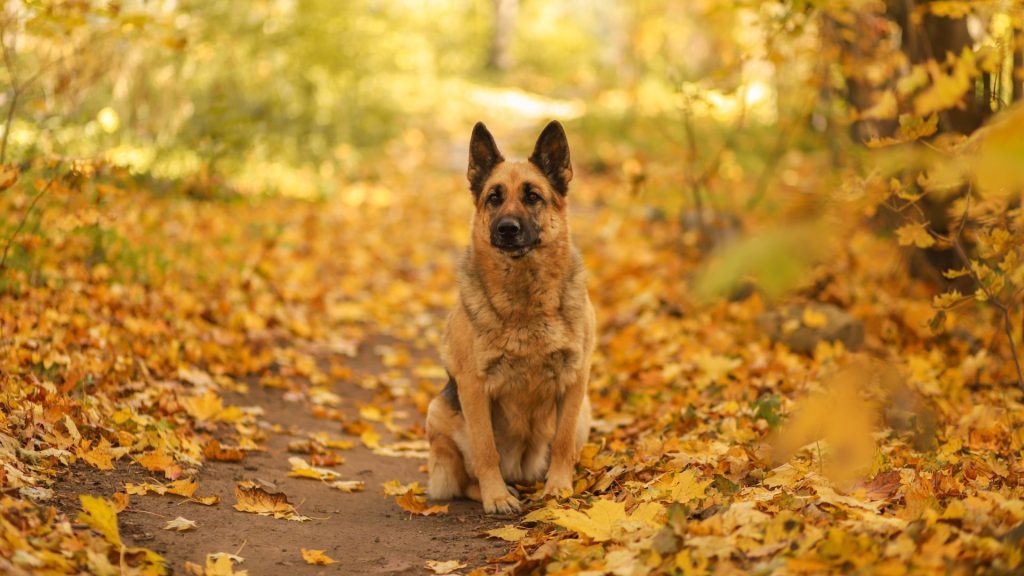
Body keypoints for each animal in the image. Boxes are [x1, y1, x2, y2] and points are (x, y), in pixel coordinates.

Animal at [428, 119, 598, 510]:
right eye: (494, 197)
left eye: (533, 196)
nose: (507, 229)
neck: (526, 302)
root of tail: (523, 472)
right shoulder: (474, 387)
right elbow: (485, 449)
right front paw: (495, 496)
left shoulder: (575, 380)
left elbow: (563, 442)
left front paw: (559, 488)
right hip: (438, 412)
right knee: (465, 478)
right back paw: (498, 491)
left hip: (585, 411)